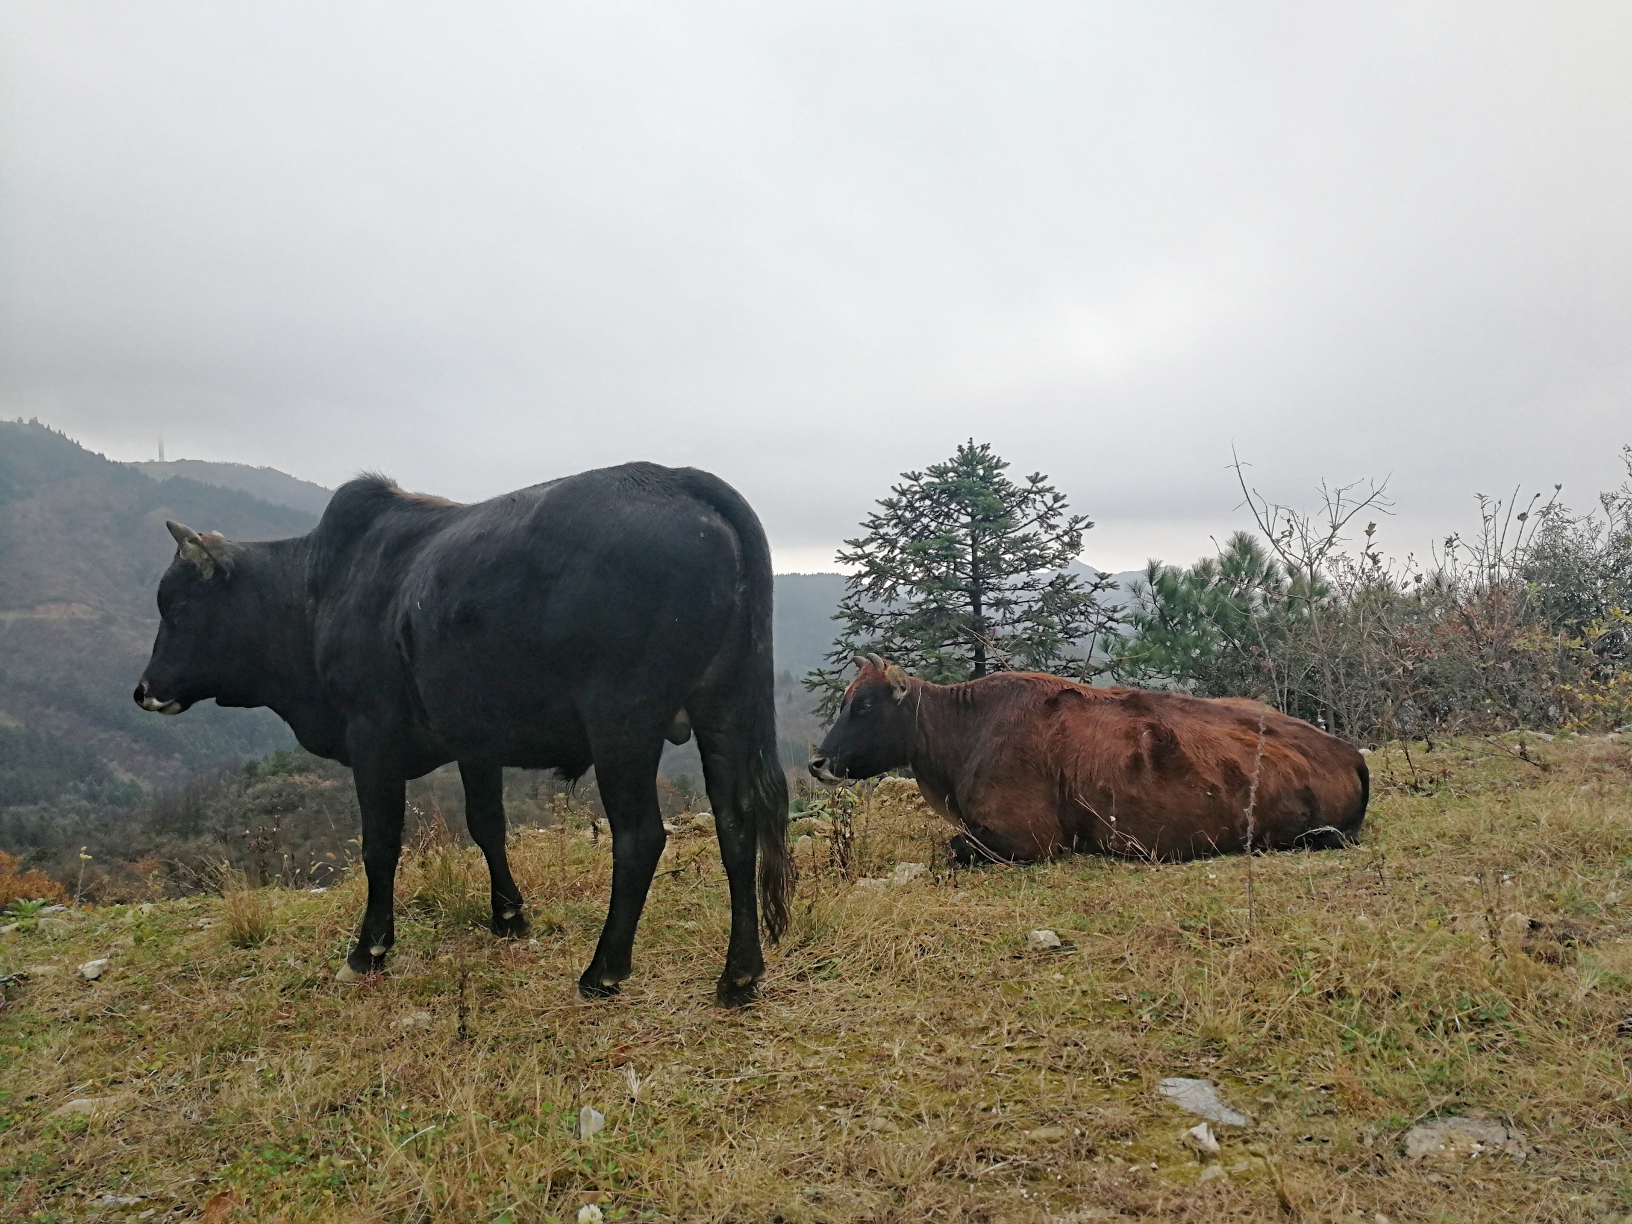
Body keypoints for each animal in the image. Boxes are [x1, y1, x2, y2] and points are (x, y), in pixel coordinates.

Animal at [140, 463, 789, 1005]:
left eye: (177, 607)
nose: (143, 689)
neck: (318, 590)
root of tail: (678, 479)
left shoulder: (371, 737)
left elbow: (380, 845)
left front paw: (368, 950)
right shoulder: (478, 741)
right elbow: (487, 827)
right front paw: (508, 918)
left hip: (622, 723)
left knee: (640, 837)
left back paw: (603, 970)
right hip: (725, 706)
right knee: (736, 823)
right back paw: (740, 974)